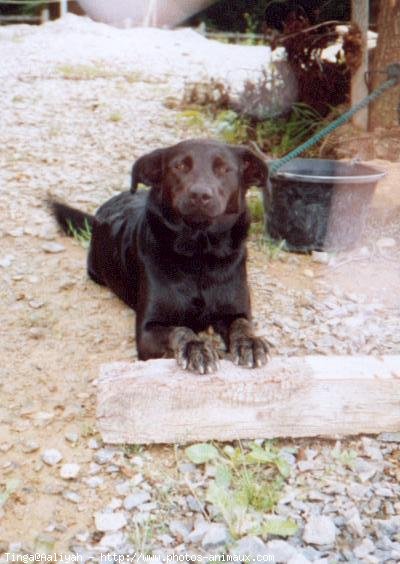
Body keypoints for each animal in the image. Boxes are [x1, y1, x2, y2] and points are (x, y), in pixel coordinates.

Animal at [49, 138, 268, 374]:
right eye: (179, 166)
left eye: (224, 168)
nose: (200, 195)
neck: (198, 255)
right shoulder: (148, 329)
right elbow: (179, 330)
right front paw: (195, 347)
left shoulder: (236, 311)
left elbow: (242, 325)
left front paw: (250, 342)